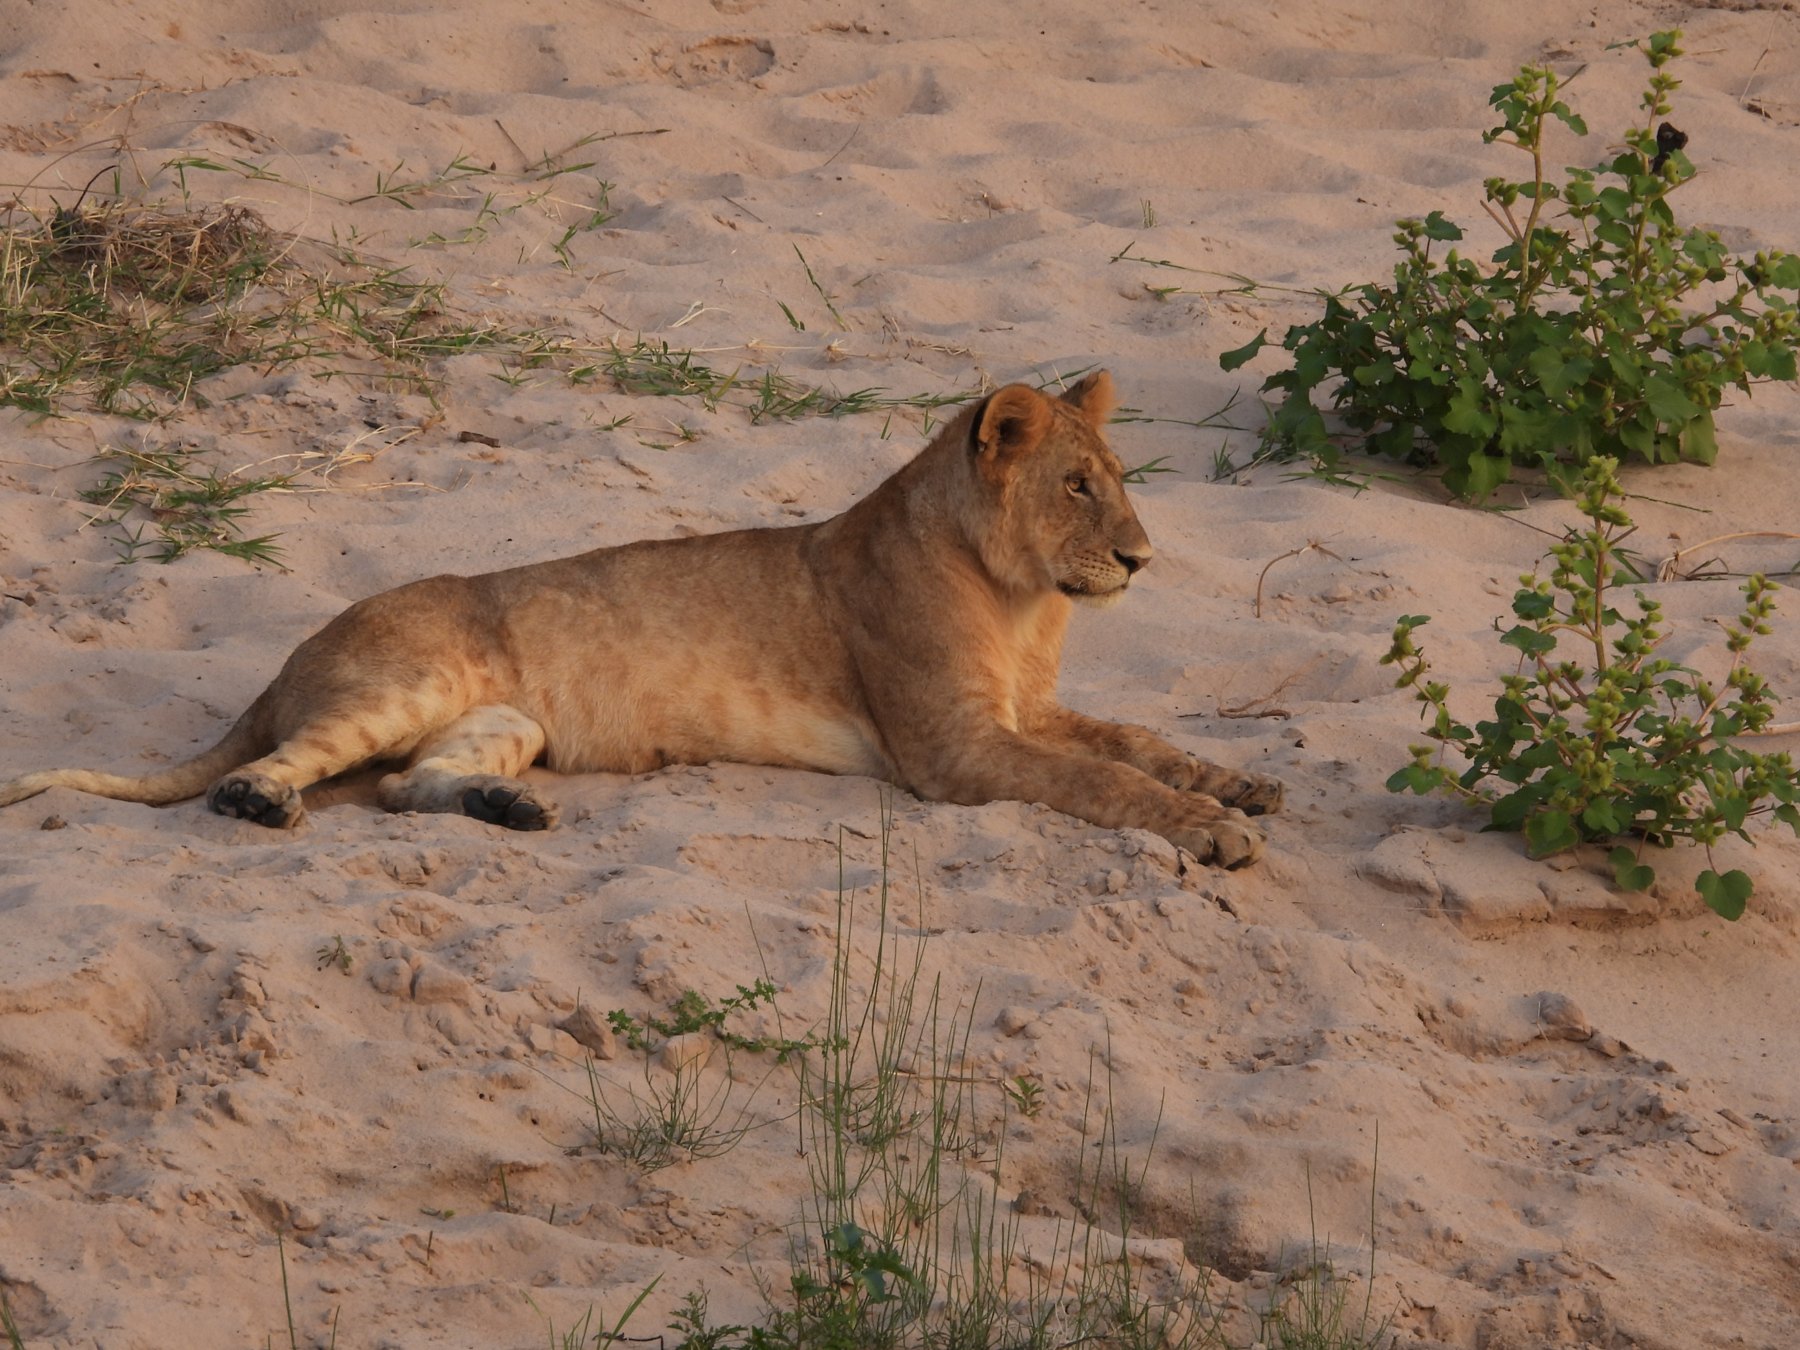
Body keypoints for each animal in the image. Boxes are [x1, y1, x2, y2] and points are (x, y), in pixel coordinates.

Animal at [0, 371, 1281, 866]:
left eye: (1119, 478)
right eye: (1078, 487)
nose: (1142, 556)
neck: (1023, 604)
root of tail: (287, 658)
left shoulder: (1027, 709)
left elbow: (1133, 741)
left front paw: (1242, 785)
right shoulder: (955, 749)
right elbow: (1101, 781)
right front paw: (1216, 832)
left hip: (507, 719)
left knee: (410, 785)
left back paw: (512, 810)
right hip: (406, 682)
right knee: (274, 766)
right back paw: (260, 802)